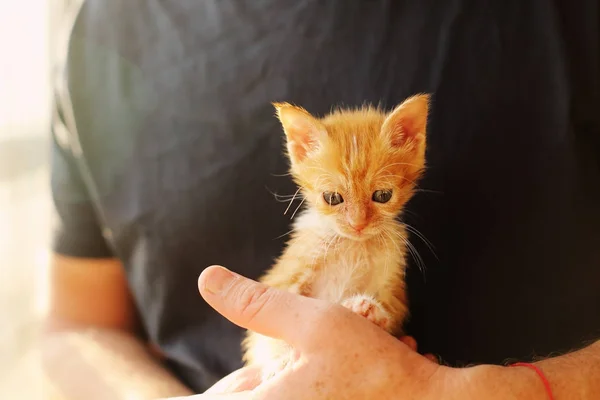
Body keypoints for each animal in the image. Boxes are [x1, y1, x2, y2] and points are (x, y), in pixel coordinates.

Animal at [241, 94, 428, 378]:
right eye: (332, 198)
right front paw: (278, 360)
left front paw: (371, 312)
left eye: (383, 195)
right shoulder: (286, 275)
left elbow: (391, 315)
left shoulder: (391, 283)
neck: (353, 244)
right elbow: (266, 331)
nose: (358, 224)